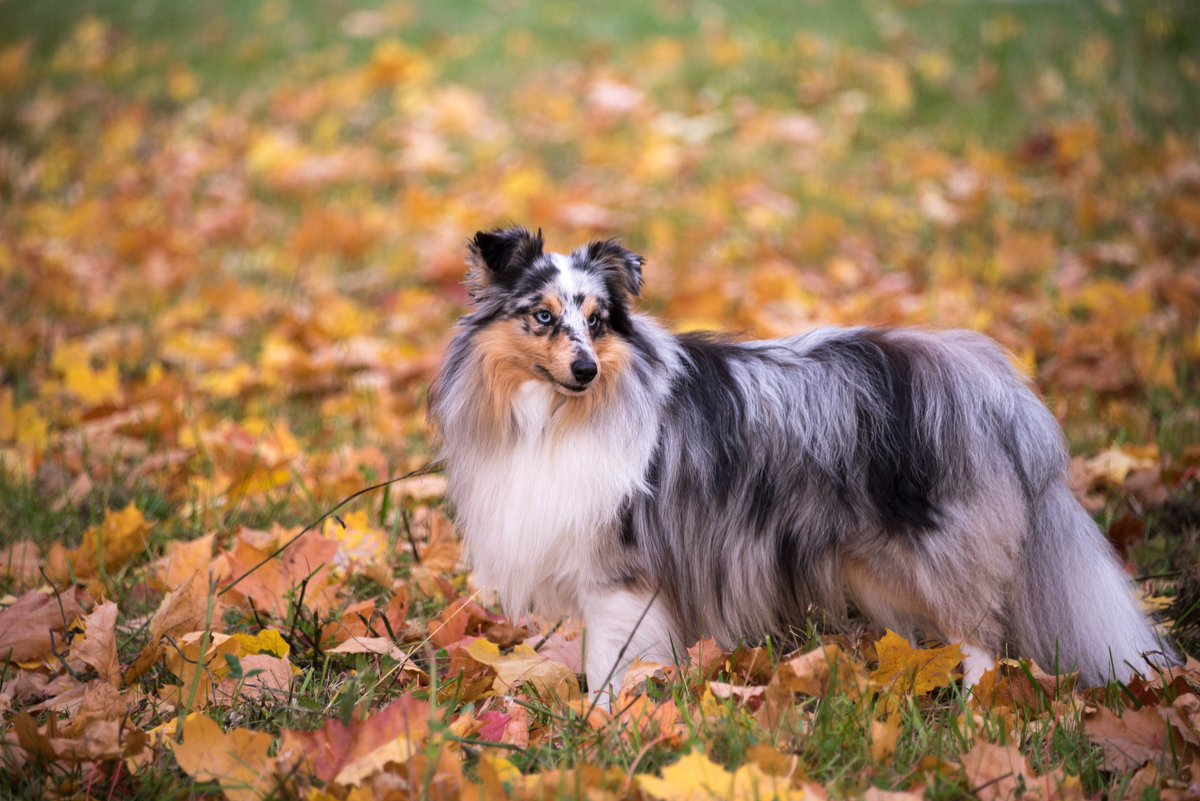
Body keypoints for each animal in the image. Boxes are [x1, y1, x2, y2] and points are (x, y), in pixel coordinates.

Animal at [427, 224, 1176, 700]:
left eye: (598, 321)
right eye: (542, 316)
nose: (584, 370)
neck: (557, 414)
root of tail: (996, 386)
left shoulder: (620, 571)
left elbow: (611, 664)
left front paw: (603, 724)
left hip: (942, 549)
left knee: (982, 638)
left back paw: (974, 714)